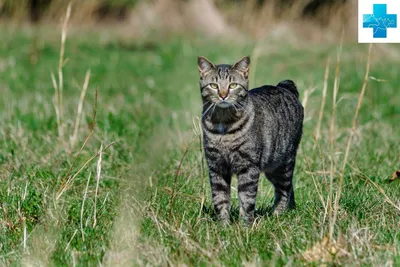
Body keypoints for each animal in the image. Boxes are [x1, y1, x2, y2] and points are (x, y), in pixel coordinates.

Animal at [198, 56, 304, 226]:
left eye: (233, 85)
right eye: (214, 86)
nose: (223, 95)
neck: (224, 125)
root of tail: (284, 86)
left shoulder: (248, 167)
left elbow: (246, 199)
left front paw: (245, 227)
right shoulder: (216, 167)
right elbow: (220, 199)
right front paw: (224, 226)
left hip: (283, 163)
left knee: (284, 189)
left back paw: (278, 214)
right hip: (272, 166)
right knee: (289, 188)